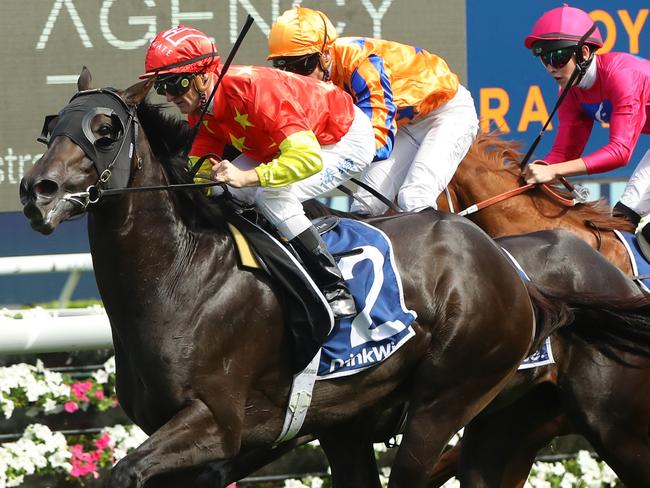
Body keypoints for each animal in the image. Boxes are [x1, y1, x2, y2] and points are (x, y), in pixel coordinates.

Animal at [20, 70, 564, 486]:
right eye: (50, 128)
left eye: (105, 130)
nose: (36, 190)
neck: (180, 275)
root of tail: (505, 264)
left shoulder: (216, 424)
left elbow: (125, 470)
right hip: (353, 421)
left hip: (446, 398)